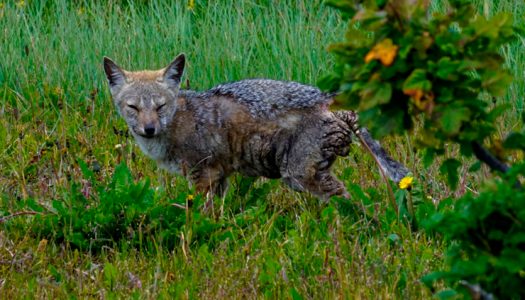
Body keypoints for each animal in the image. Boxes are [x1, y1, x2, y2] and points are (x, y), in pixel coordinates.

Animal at [101, 53, 406, 204]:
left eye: (160, 106)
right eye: (133, 108)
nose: (149, 129)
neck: (178, 121)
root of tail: (329, 98)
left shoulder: (203, 176)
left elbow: (196, 215)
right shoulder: (219, 177)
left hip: (298, 176)